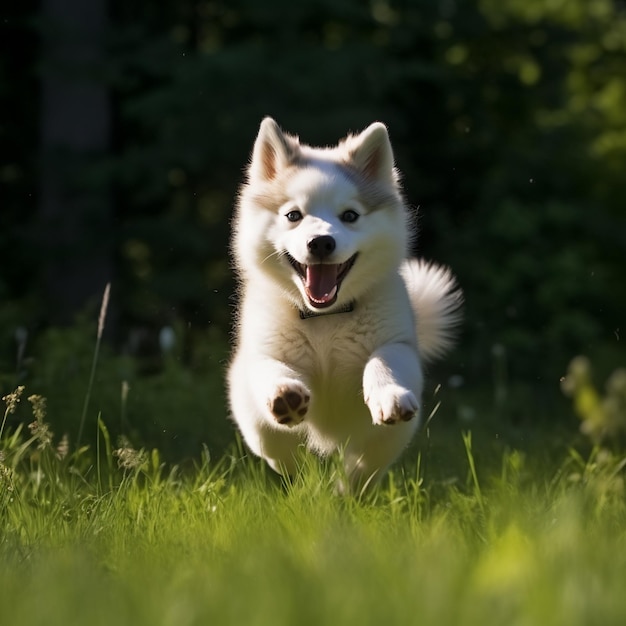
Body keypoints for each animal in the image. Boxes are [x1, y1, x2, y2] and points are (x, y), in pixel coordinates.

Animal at [227, 117, 460, 488]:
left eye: (350, 216)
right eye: (293, 215)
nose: (321, 242)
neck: (325, 319)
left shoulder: (397, 343)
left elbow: (384, 359)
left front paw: (389, 394)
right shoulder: (260, 356)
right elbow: (271, 369)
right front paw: (285, 395)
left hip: (385, 441)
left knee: (362, 469)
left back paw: (345, 490)